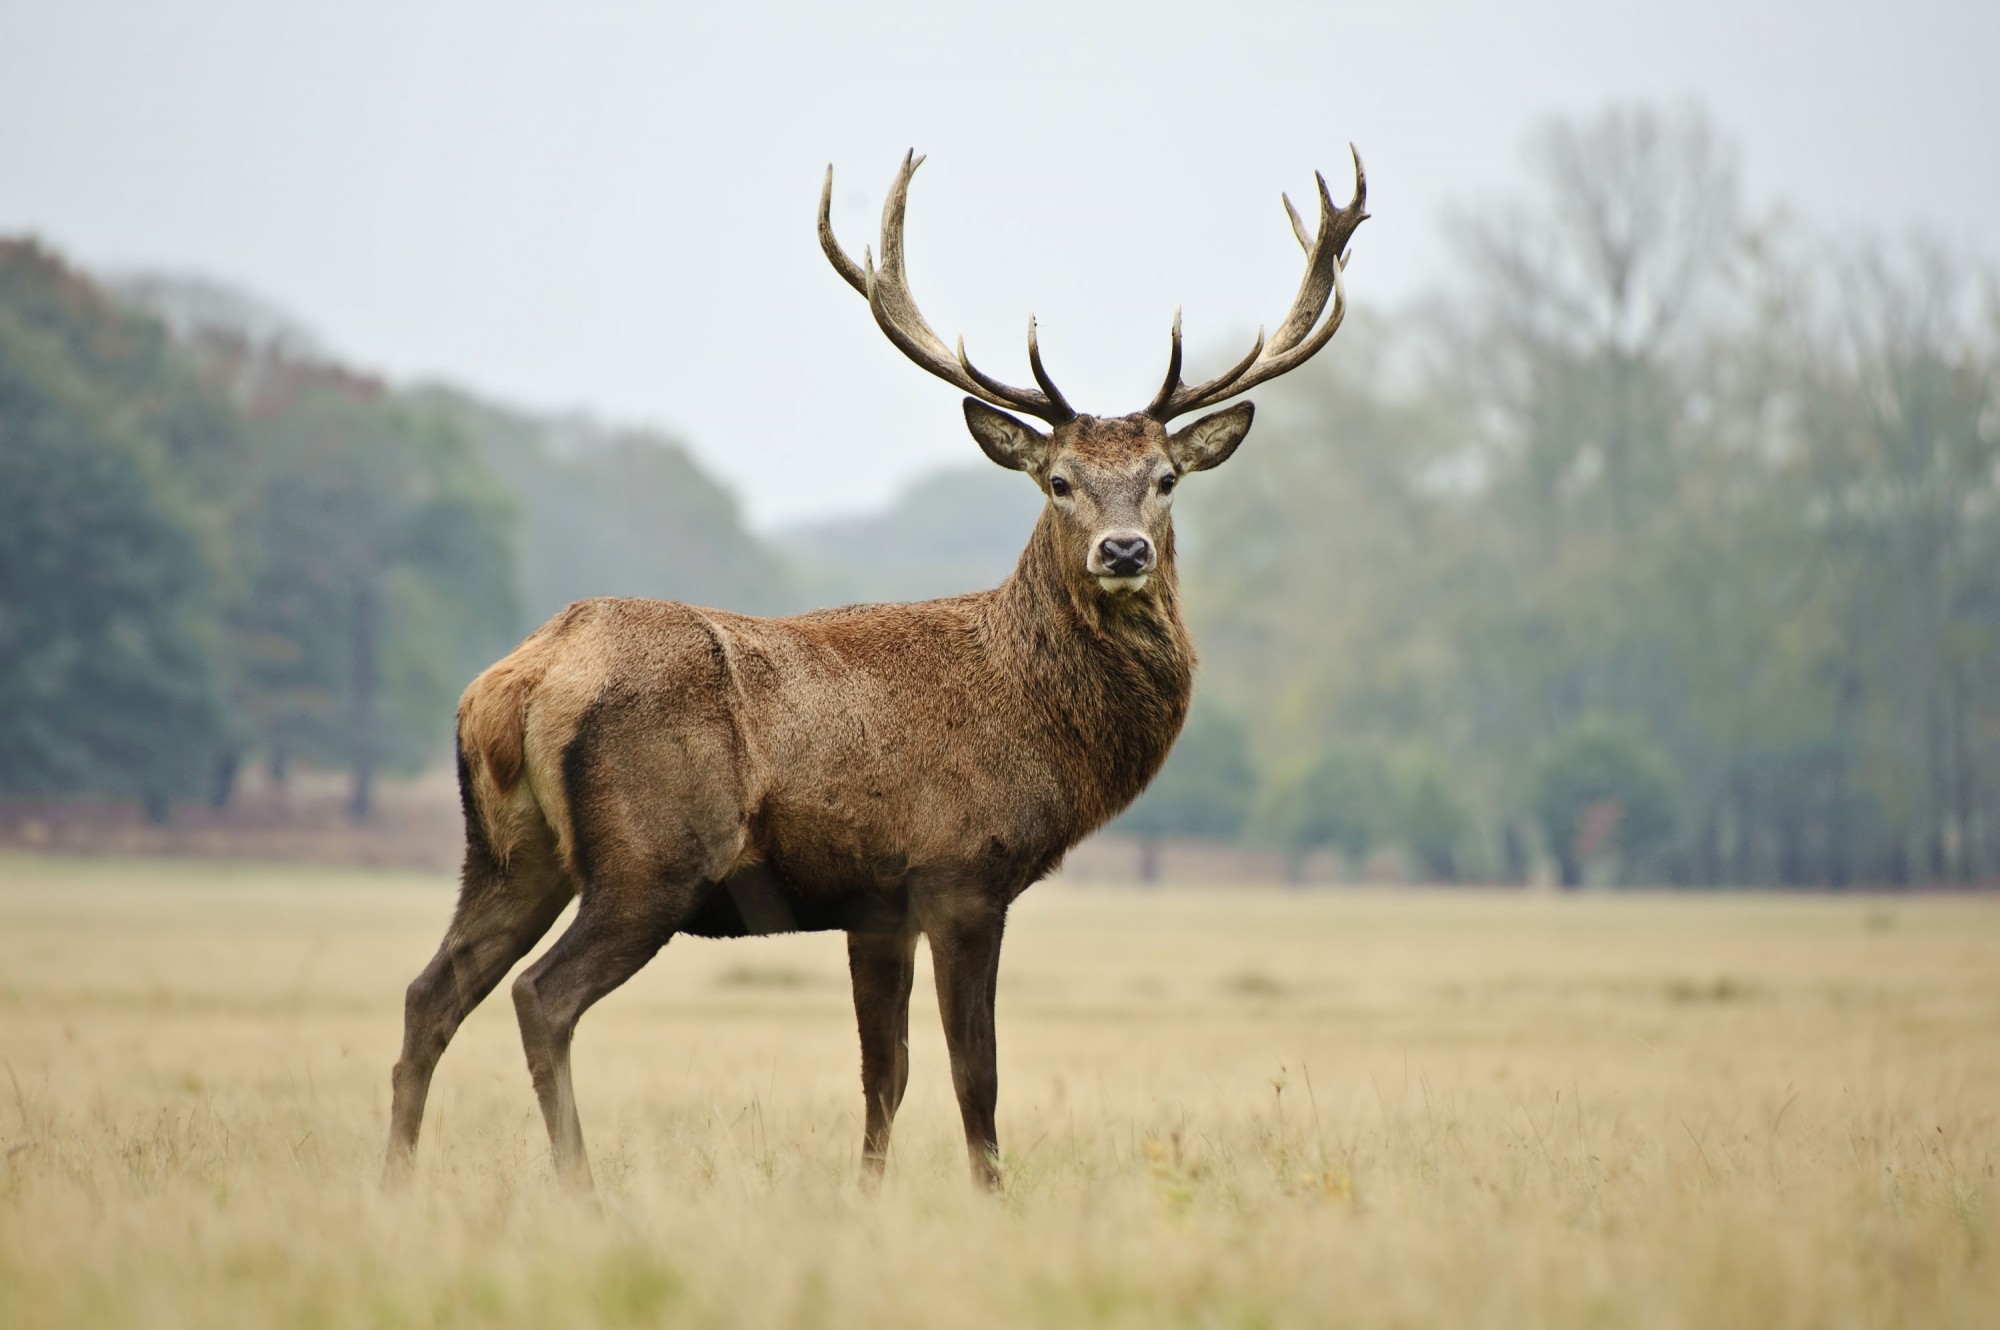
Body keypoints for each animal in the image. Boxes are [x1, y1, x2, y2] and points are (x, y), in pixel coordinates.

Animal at [383, 148, 1367, 1192]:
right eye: (1058, 481)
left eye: (1166, 479)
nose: (1125, 550)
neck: (1036, 722)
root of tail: (518, 682)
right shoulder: (962, 870)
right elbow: (975, 1073)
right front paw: (991, 1196)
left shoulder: (875, 904)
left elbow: (882, 1075)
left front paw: (867, 1196)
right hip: (650, 856)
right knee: (541, 997)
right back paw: (581, 1189)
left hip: (507, 853)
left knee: (429, 993)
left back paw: (395, 1181)